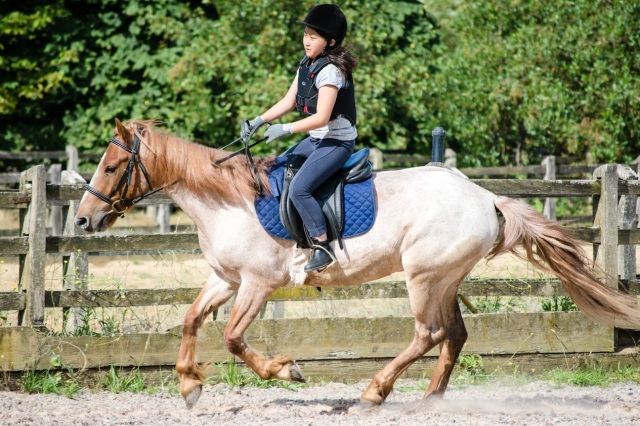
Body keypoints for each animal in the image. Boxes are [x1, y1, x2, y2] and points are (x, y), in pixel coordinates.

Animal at [75, 119, 640, 410]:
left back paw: (375, 391)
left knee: (429, 334)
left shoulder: (257, 284)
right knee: (453, 336)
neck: (228, 202)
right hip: (445, 278)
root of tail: (485, 198)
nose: (82, 220)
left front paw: (286, 370)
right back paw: (429, 401)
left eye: (113, 165)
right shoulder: (224, 279)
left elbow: (234, 338)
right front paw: (189, 387)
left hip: (423, 277)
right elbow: (192, 320)